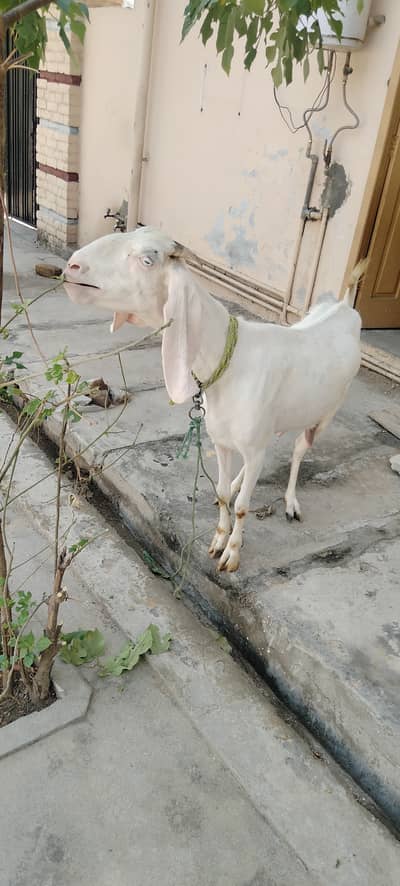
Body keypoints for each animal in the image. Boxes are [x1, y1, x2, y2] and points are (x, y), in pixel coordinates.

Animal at [63, 227, 363, 572]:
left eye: (147, 260)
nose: (72, 266)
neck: (230, 363)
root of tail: (345, 308)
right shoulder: (221, 439)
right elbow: (220, 492)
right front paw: (219, 537)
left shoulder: (254, 440)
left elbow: (244, 506)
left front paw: (232, 553)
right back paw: (239, 483)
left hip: (329, 409)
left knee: (300, 450)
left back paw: (291, 503)